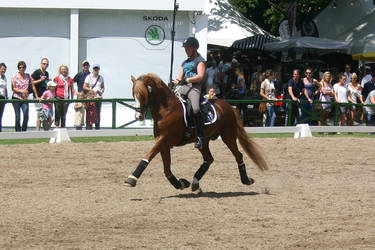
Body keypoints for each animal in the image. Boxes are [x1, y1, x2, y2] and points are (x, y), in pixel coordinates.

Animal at [125, 73, 268, 190]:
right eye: (133, 95)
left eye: (143, 95)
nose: (138, 117)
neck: (167, 109)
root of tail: (230, 107)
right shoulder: (164, 143)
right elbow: (166, 169)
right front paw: (180, 184)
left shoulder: (164, 139)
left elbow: (148, 156)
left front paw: (131, 179)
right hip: (204, 140)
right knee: (208, 159)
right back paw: (195, 182)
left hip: (229, 136)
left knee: (238, 155)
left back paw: (246, 180)